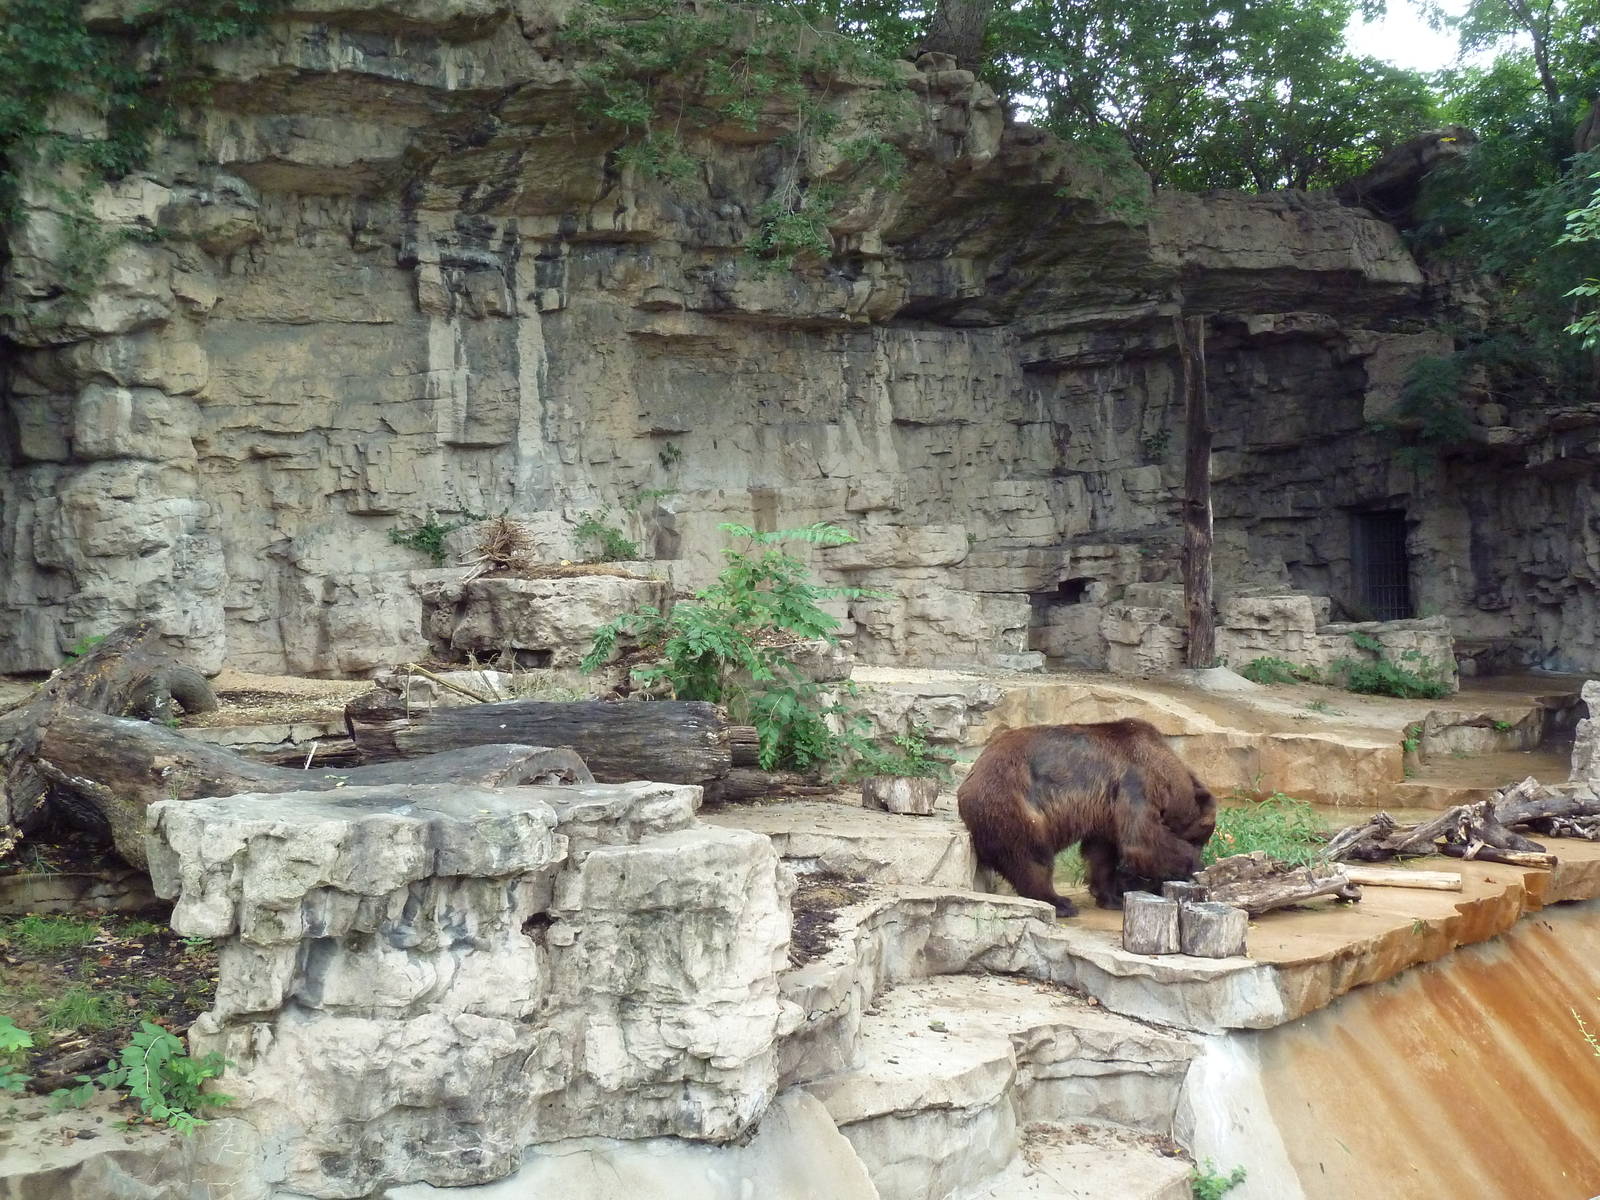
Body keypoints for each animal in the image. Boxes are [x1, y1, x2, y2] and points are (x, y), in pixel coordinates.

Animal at [955, 719, 1216, 918]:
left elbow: (1102, 852)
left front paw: (1111, 895)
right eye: (1199, 840)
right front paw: (1196, 866)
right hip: (1015, 803)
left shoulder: (1107, 811)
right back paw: (1059, 902)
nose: (1200, 849)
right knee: (1032, 855)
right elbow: (1142, 841)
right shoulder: (1134, 783)